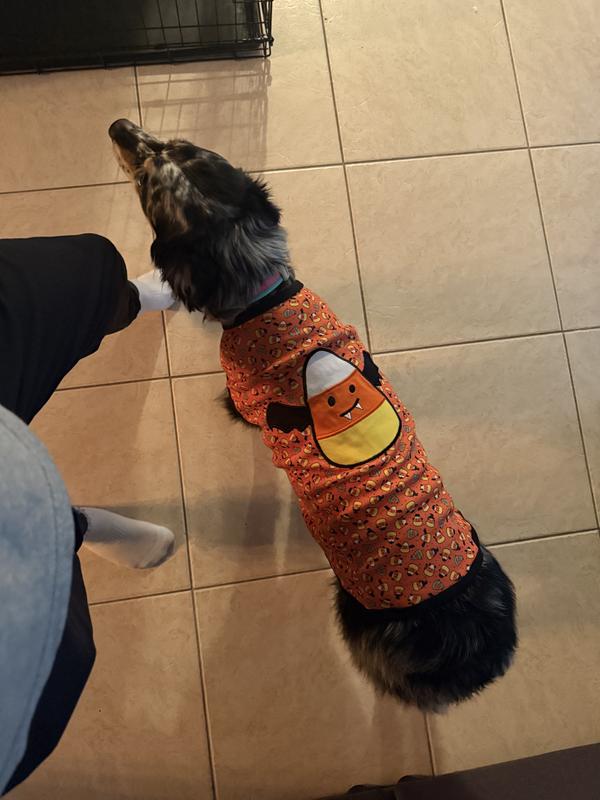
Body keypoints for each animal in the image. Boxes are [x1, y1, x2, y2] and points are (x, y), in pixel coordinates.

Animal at [109, 118, 517, 712]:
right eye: (177, 145)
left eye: (148, 180)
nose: (118, 125)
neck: (259, 285)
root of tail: (474, 650)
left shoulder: (242, 395)